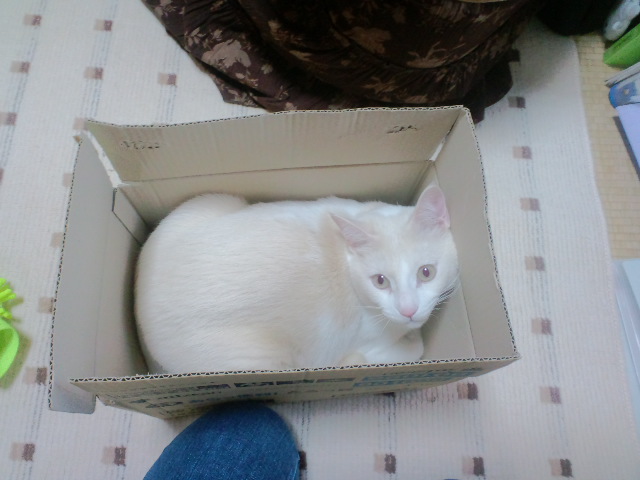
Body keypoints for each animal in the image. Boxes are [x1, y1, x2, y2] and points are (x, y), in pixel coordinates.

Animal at [134, 185, 459, 374]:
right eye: (380, 281)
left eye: (426, 272)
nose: (409, 310)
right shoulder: (372, 344)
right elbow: (415, 348)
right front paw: (411, 338)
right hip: (261, 362)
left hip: (209, 202)